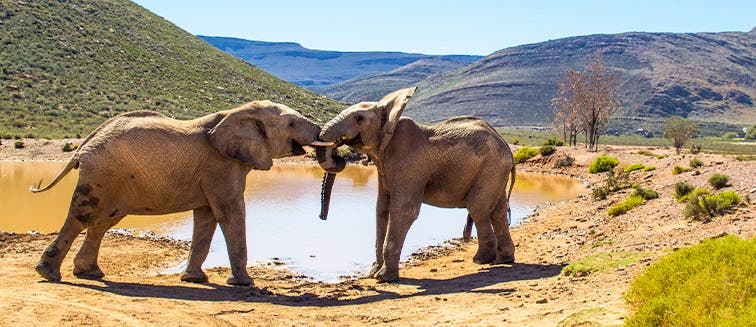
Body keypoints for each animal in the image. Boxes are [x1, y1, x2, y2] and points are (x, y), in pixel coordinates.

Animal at [30, 100, 330, 288]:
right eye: (291, 124)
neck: (237, 113)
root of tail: (84, 145)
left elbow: (207, 218)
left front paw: (195, 280)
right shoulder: (219, 166)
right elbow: (230, 213)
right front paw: (243, 284)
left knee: (102, 223)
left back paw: (89, 273)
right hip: (101, 174)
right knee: (81, 216)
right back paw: (49, 274)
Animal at [316, 86, 516, 282]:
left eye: (359, 119)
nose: (322, 217)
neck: (390, 116)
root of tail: (507, 148)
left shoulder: (409, 166)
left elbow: (404, 211)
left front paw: (384, 278)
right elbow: (381, 209)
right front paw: (373, 272)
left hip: (491, 169)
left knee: (477, 208)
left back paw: (482, 260)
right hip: (495, 172)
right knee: (497, 212)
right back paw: (503, 260)